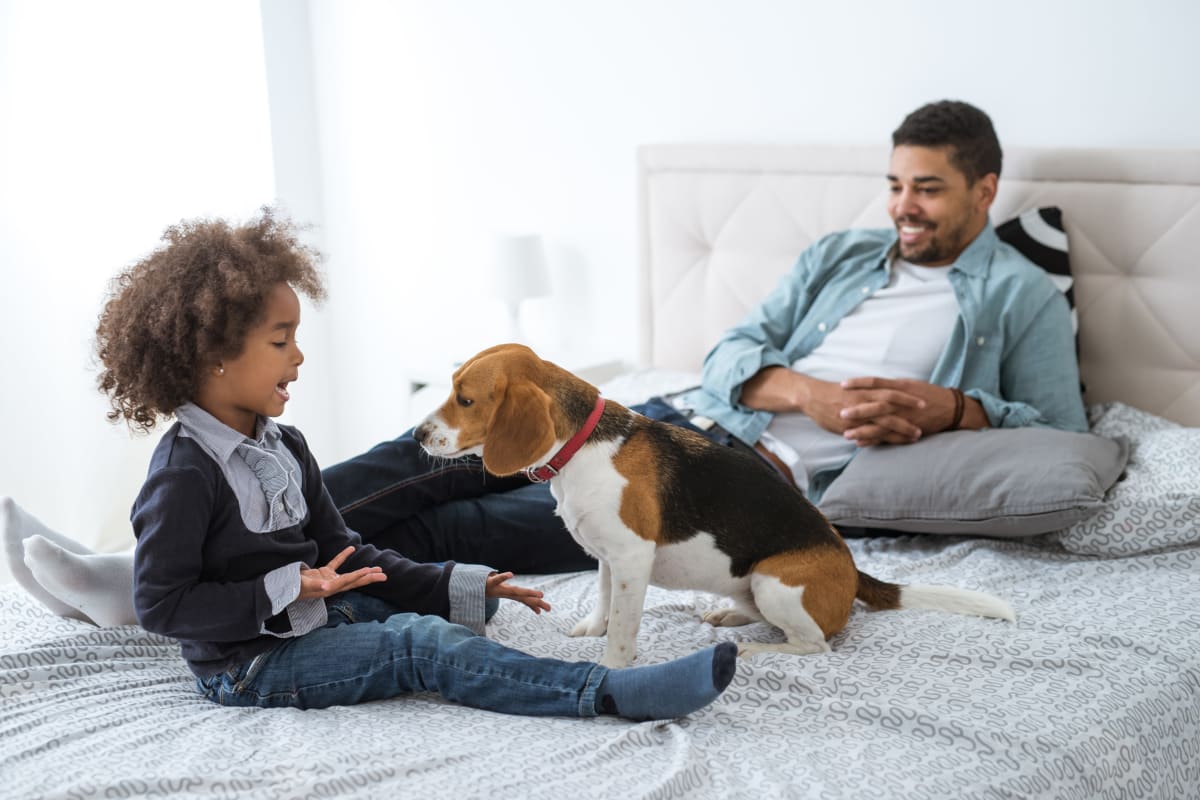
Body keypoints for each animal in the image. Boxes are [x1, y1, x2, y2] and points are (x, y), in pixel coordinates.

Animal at [415, 345, 1012, 671]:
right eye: (449, 389)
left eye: (465, 400)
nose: (418, 435)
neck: (581, 446)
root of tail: (852, 568)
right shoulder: (607, 557)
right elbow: (605, 600)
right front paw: (593, 628)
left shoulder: (632, 558)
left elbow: (626, 627)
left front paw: (611, 666)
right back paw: (731, 614)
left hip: (776, 581)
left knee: (815, 645)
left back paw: (753, 650)